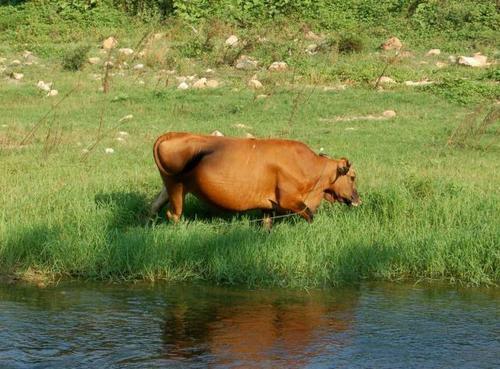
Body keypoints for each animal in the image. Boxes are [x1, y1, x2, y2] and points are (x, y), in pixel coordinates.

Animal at [151, 131, 360, 226]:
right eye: (352, 177)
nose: (358, 200)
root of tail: (172, 134)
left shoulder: (268, 205)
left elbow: (266, 225)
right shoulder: (289, 199)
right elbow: (310, 215)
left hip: (169, 187)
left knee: (154, 205)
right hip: (176, 187)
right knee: (173, 214)